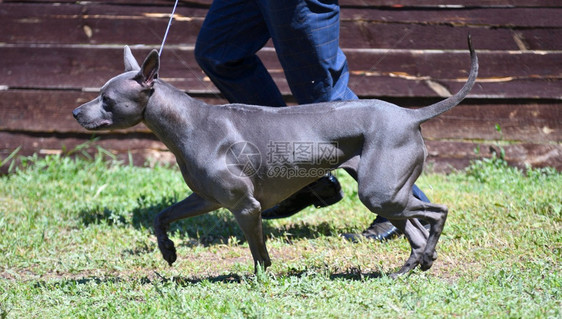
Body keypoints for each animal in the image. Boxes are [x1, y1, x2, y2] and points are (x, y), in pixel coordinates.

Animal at [73, 37, 476, 278]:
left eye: (107, 100)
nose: (76, 112)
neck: (187, 123)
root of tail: (410, 114)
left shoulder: (245, 206)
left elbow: (257, 251)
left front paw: (261, 279)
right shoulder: (206, 198)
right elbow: (161, 217)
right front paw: (169, 252)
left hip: (379, 192)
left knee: (437, 213)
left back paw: (425, 257)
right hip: (387, 196)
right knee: (416, 231)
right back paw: (410, 267)